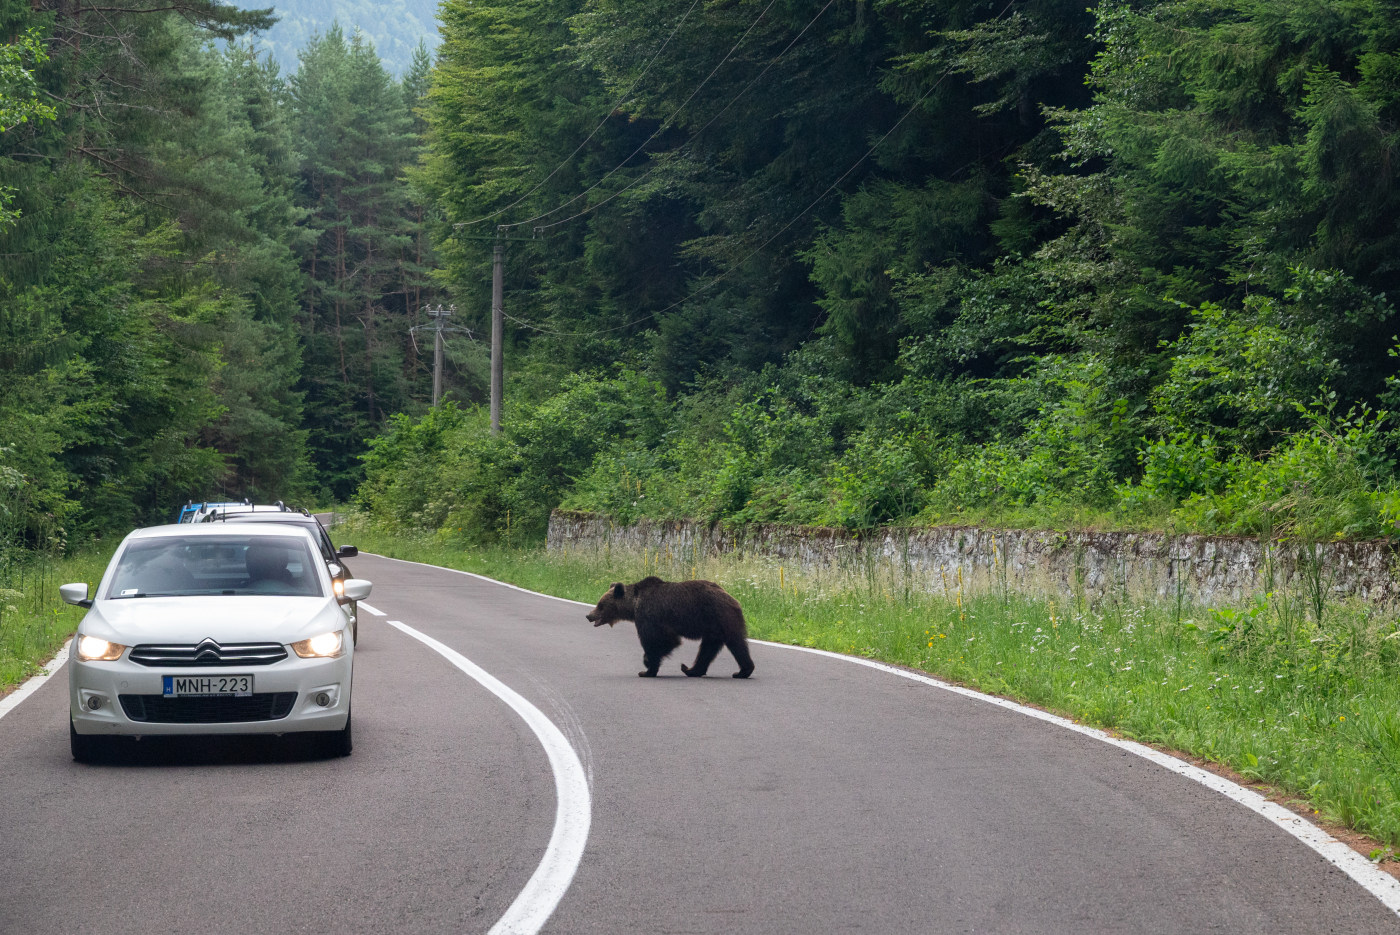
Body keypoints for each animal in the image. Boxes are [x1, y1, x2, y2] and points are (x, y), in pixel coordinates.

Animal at [586, 576, 755, 679]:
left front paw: (646, 668)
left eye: (600, 605)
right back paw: (691, 669)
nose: (589, 615)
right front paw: (648, 667)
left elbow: (661, 640)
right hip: (713, 627)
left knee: (736, 643)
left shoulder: (650, 616)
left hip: (721, 617)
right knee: (708, 648)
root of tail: (734, 599)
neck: (633, 606)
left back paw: (742, 671)